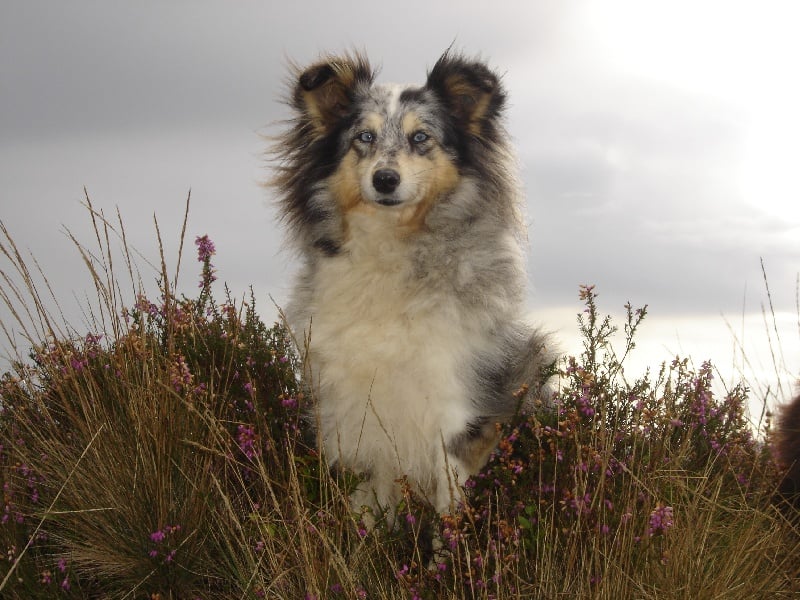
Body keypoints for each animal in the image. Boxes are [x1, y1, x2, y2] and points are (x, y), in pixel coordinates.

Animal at [271, 50, 550, 521]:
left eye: (421, 138)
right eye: (364, 136)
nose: (385, 179)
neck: (391, 251)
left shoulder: (453, 419)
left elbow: (449, 518)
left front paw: (451, 545)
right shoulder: (355, 423)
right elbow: (364, 516)